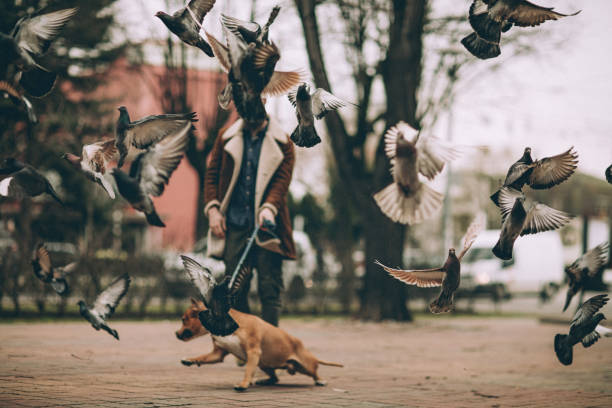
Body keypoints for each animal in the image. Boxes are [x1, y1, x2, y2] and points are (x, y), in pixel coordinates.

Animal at [175, 298, 342, 390]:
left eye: (184, 319)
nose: (176, 333)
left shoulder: (253, 352)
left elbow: (248, 370)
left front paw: (243, 384)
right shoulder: (217, 354)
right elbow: (201, 357)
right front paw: (189, 360)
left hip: (305, 366)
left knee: (315, 372)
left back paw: (320, 380)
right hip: (264, 363)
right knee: (275, 378)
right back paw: (265, 380)